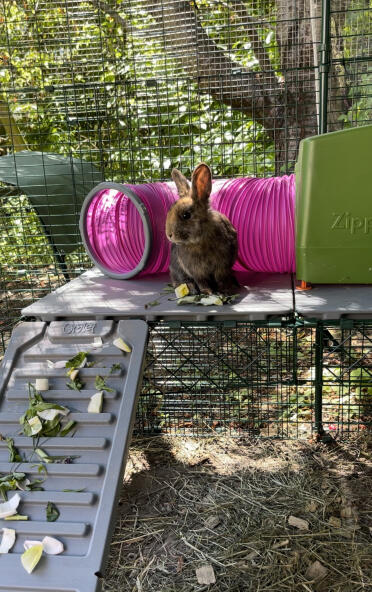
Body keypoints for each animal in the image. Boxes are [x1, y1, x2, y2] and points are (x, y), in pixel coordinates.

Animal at [166, 163, 238, 294]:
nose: (169, 234)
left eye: (186, 215)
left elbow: (221, 278)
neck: (200, 240)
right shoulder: (196, 270)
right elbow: (201, 281)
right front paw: (207, 292)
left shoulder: (222, 266)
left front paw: (225, 290)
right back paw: (191, 288)